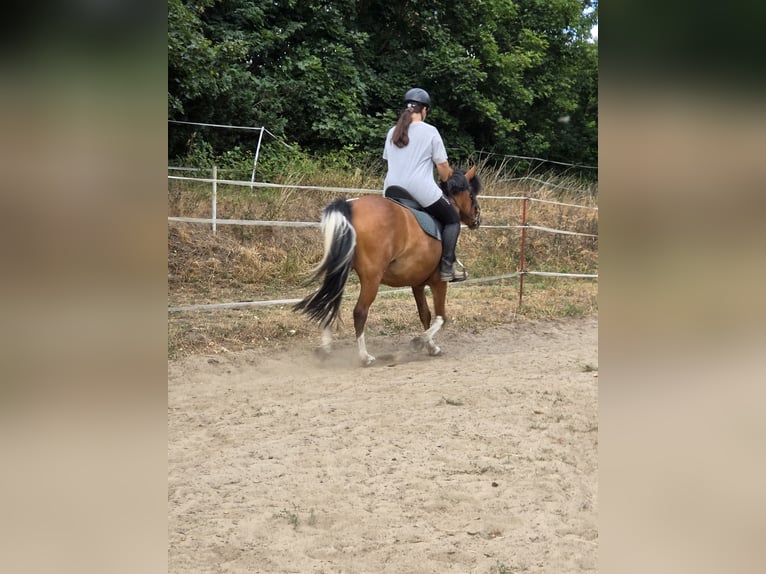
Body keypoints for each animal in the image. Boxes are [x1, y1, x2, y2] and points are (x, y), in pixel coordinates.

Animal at [294, 167, 481, 366]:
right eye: (471, 194)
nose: (477, 218)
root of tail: (349, 205)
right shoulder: (438, 282)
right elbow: (441, 317)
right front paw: (419, 342)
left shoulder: (417, 283)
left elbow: (425, 314)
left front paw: (430, 346)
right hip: (371, 278)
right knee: (359, 311)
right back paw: (364, 356)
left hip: (340, 270)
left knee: (328, 301)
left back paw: (325, 350)